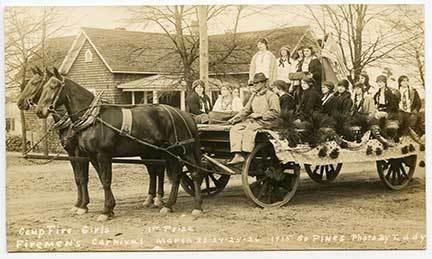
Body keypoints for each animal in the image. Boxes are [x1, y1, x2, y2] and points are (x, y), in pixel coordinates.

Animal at [34, 67, 203, 221]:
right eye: (44, 86)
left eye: (54, 86)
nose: (39, 111)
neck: (93, 118)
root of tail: (183, 114)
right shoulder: (91, 156)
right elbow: (98, 179)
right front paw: (105, 208)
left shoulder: (101, 155)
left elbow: (105, 180)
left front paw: (105, 210)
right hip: (168, 152)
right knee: (175, 175)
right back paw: (168, 205)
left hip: (184, 150)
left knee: (194, 173)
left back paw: (197, 207)